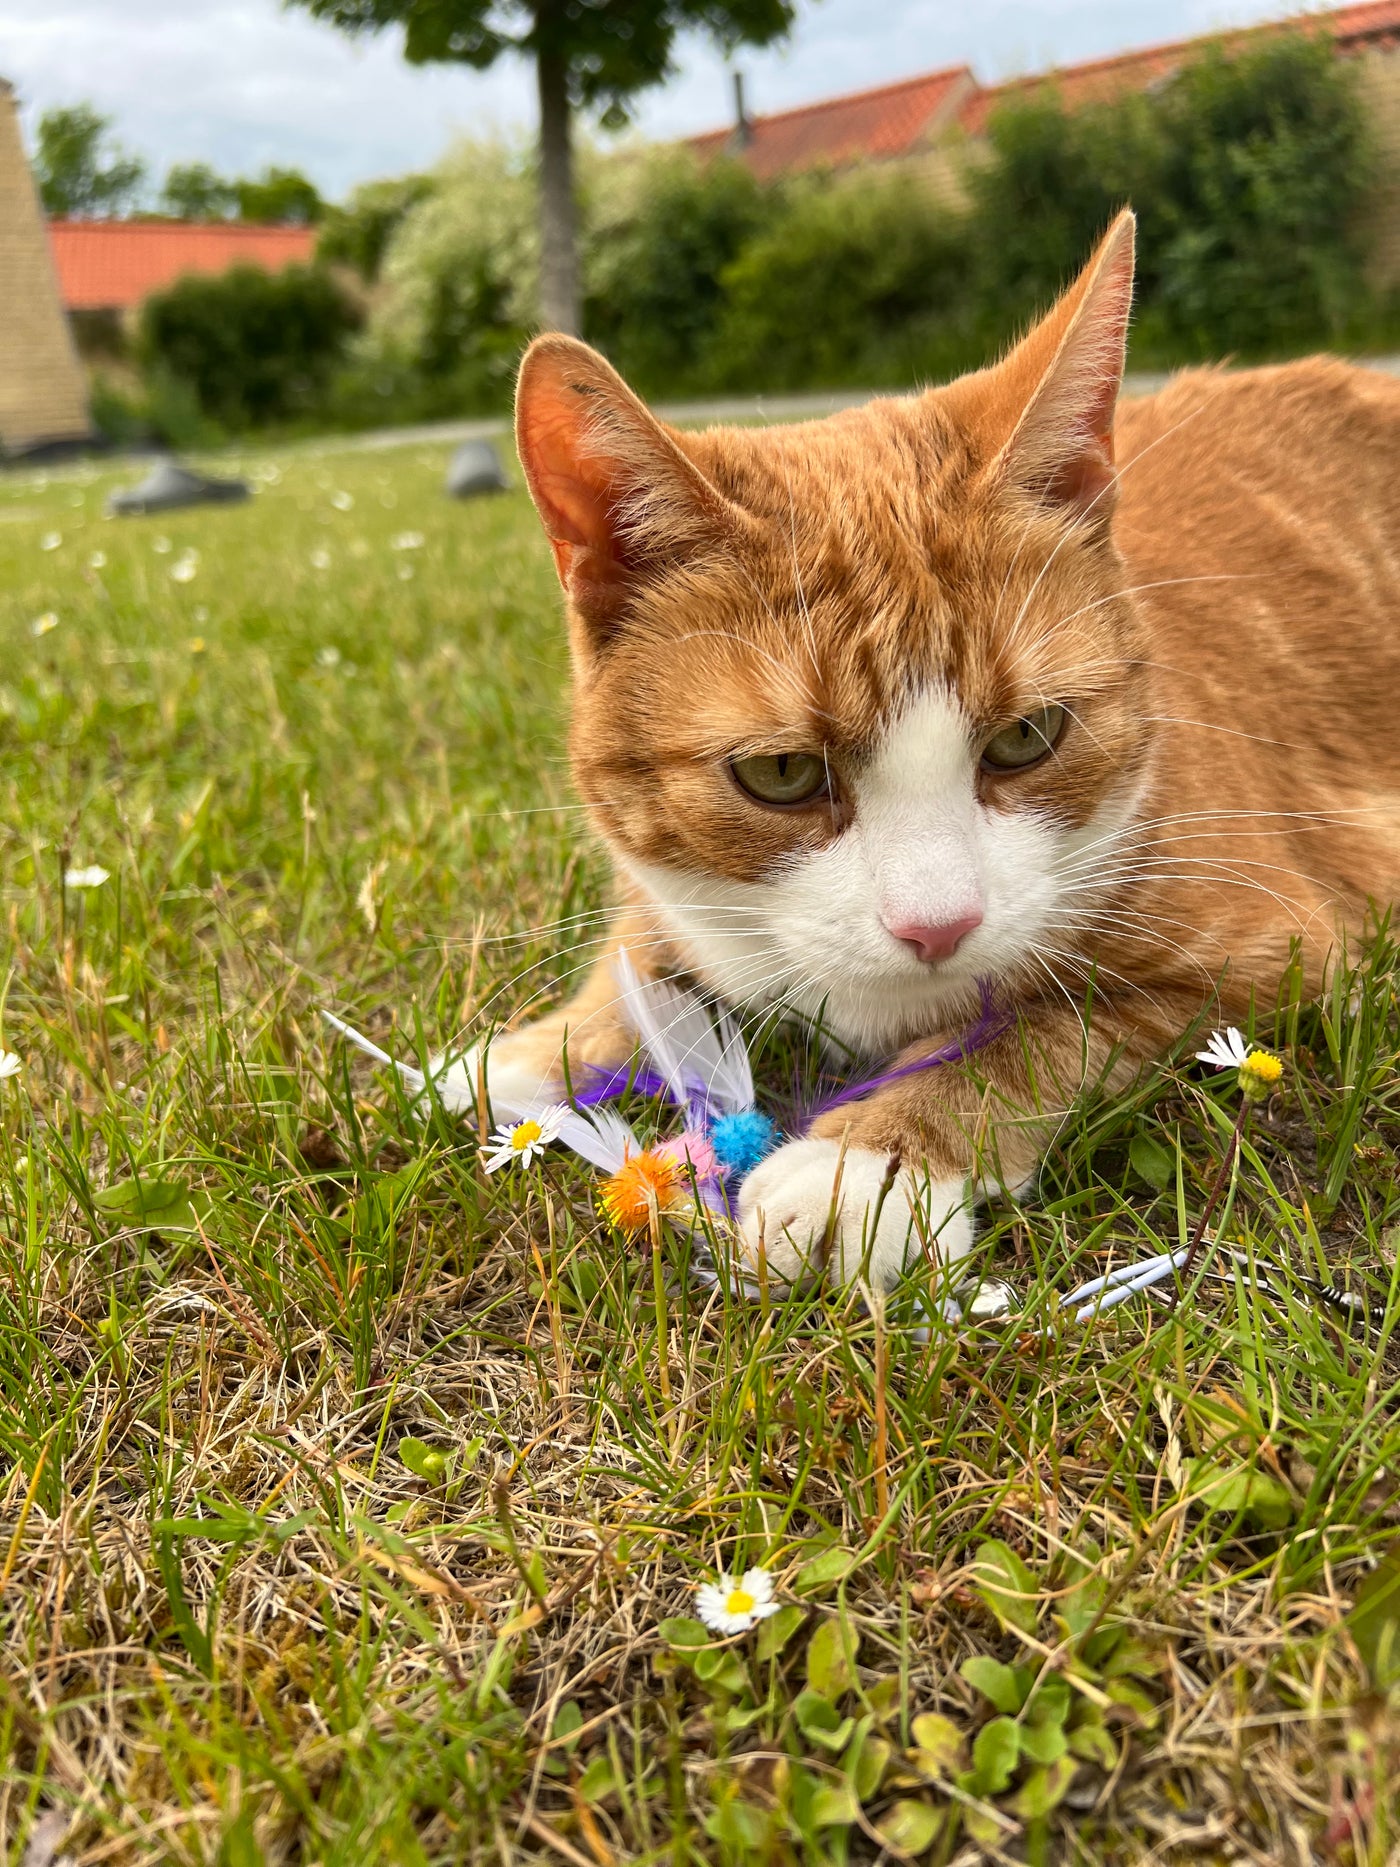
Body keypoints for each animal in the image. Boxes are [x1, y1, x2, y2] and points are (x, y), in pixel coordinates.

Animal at [466, 204, 1400, 1284]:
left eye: (1027, 737)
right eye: (780, 773)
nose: (938, 928)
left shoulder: (1274, 944)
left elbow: (1047, 1026)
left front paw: (869, 1162)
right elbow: (647, 949)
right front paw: (536, 1049)